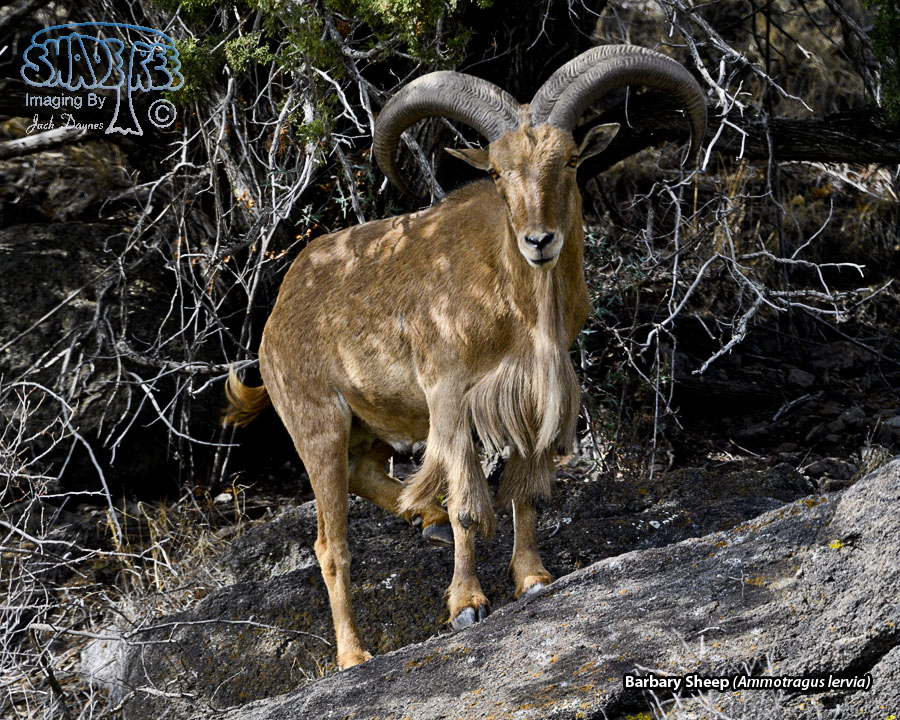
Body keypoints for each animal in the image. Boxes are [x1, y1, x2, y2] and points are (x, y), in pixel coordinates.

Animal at [224, 44, 706, 670]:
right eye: (497, 172)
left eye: (571, 161)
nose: (539, 241)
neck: (511, 296)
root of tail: (279, 313)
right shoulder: (449, 397)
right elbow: (468, 505)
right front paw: (466, 605)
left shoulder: (532, 394)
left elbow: (524, 492)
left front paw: (533, 578)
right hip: (318, 424)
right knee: (331, 544)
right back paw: (353, 655)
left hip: (375, 419)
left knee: (366, 473)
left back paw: (421, 517)